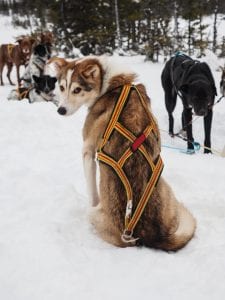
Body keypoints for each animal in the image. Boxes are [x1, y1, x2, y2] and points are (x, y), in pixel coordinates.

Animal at [55, 56, 195, 251]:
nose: (60, 110)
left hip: (93, 215)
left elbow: (92, 191)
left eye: (77, 89)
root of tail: (149, 236)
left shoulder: (88, 152)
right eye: (61, 87)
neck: (113, 84)